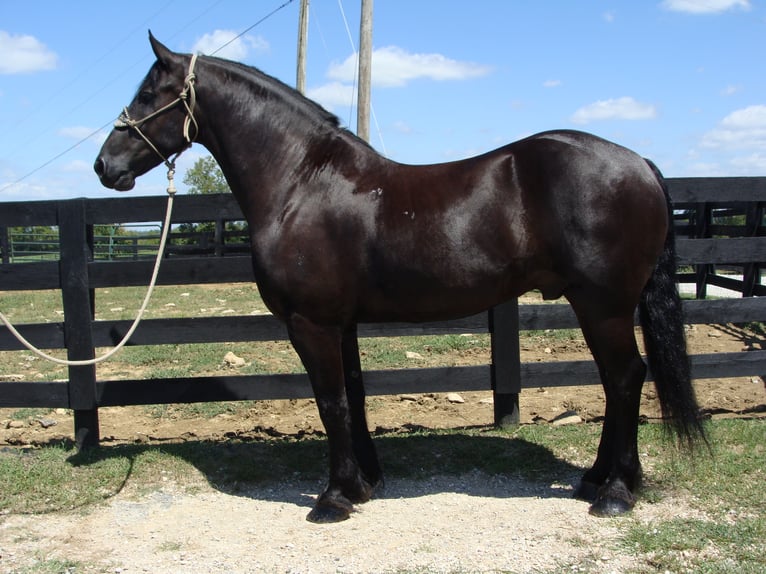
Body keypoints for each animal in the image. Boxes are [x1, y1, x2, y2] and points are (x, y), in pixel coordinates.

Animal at [93, 33, 704, 524]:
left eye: (149, 95)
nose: (104, 166)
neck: (302, 181)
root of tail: (639, 164)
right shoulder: (340, 323)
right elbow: (355, 397)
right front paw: (364, 484)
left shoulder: (310, 324)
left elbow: (330, 401)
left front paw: (333, 499)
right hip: (596, 305)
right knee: (615, 381)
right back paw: (596, 480)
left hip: (603, 305)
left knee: (625, 377)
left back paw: (616, 492)